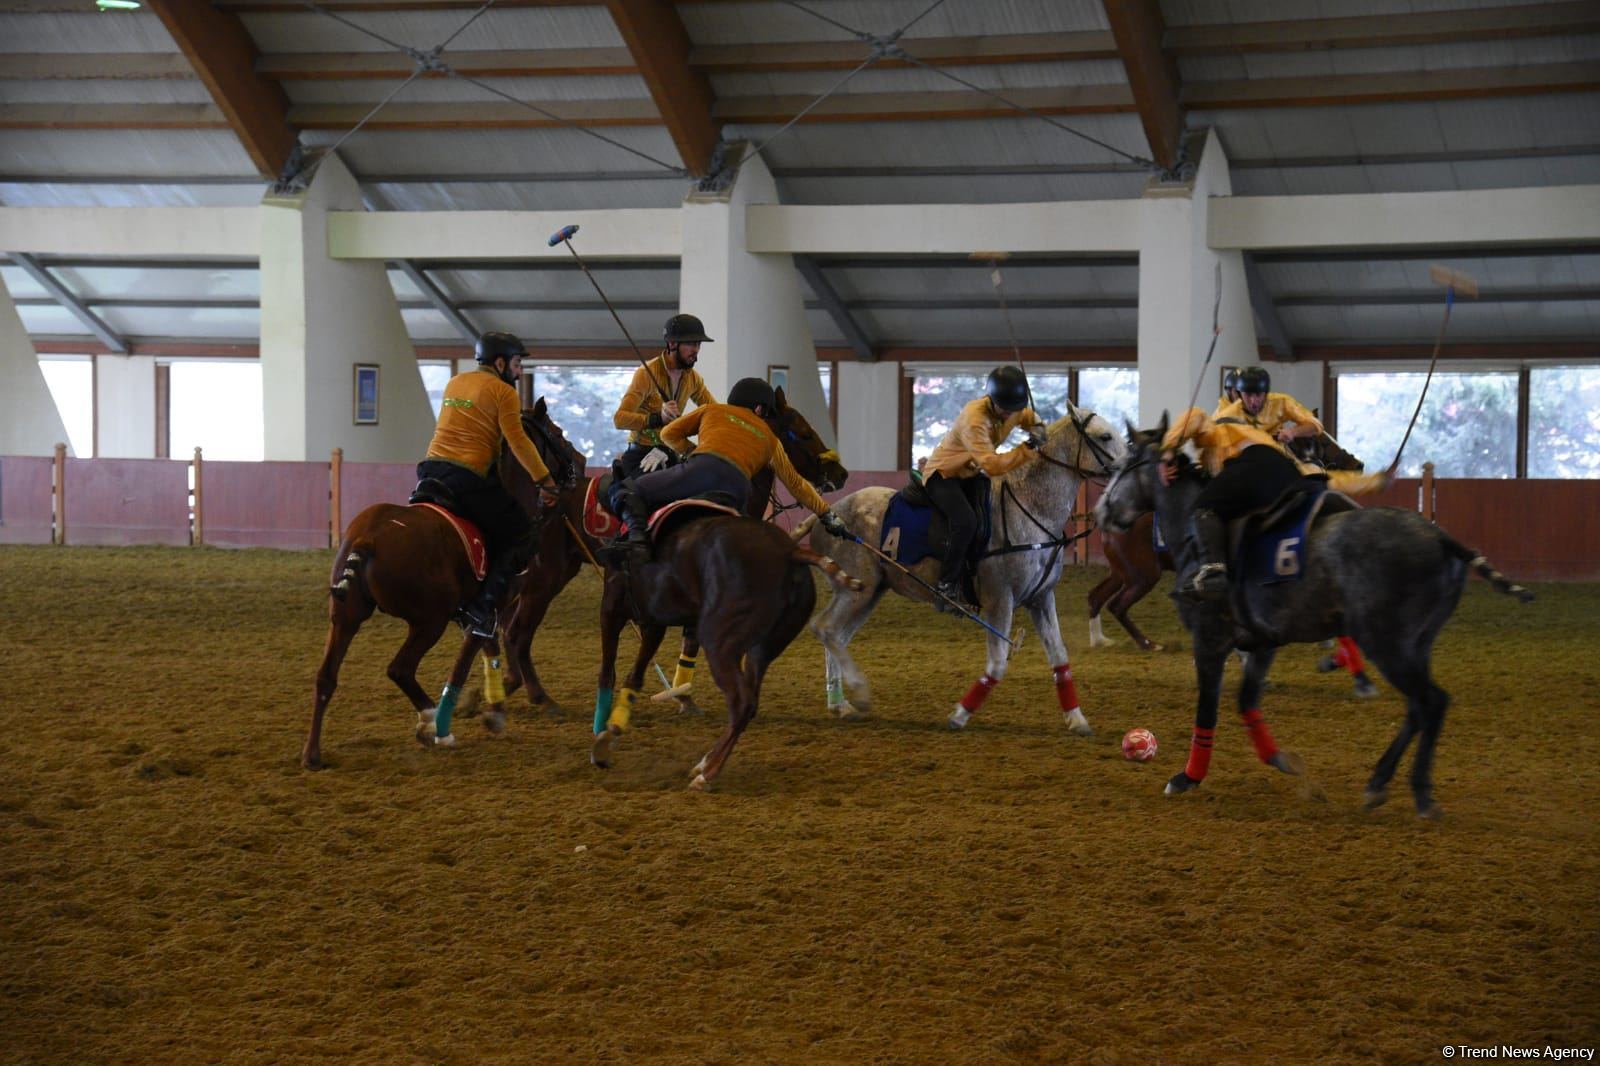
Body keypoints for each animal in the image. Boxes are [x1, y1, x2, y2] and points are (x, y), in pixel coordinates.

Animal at [299, 396, 582, 765]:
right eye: (558, 433)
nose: (580, 464)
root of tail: (367, 538)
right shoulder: (485, 608)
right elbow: (463, 665)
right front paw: (486, 712)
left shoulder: (484, 613)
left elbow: (490, 649)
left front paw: (492, 707)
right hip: (428, 620)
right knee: (400, 669)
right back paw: (434, 723)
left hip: (345, 616)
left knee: (326, 678)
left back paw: (312, 752)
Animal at [496, 382, 851, 713]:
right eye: (804, 433)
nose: (842, 474)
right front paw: (680, 695)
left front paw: (683, 694)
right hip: (544, 574)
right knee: (517, 632)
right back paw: (537, 695)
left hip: (555, 571)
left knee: (514, 626)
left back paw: (517, 686)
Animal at [800, 404, 1126, 729]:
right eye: (1105, 436)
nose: (1128, 468)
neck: (1030, 509)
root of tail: (826, 513)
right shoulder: (999, 599)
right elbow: (997, 664)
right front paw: (959, 714)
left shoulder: (1041, 598)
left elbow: (1059, 656)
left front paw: (1077, 718)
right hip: (858, 589)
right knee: (825, 629)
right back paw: (857, 693)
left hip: (871, 591)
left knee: (837, 637)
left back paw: (840, 703)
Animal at [1094, 416, 1529, 813]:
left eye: (1120, 467)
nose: (1100, 513)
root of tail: (1440, 536)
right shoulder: (1262, 643)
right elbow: (1247, 703)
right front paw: (1281, 760)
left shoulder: (1210, 640)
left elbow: (1208, 711)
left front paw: (1187, 777)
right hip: (1415, 644)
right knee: (1418, 707)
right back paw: (1379, 781)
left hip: (1386, 640)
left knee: (1430, 702)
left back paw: (1418, 791)